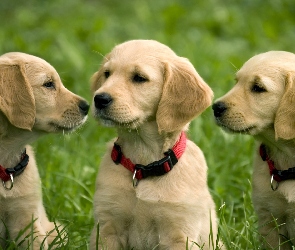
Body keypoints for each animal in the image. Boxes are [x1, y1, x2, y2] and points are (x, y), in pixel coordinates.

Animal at [90, 39, 222, 250]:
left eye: (139, 78)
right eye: (107, 74)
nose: (99, 99)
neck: (143, 166)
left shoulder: (179, 235)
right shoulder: (106, 228)